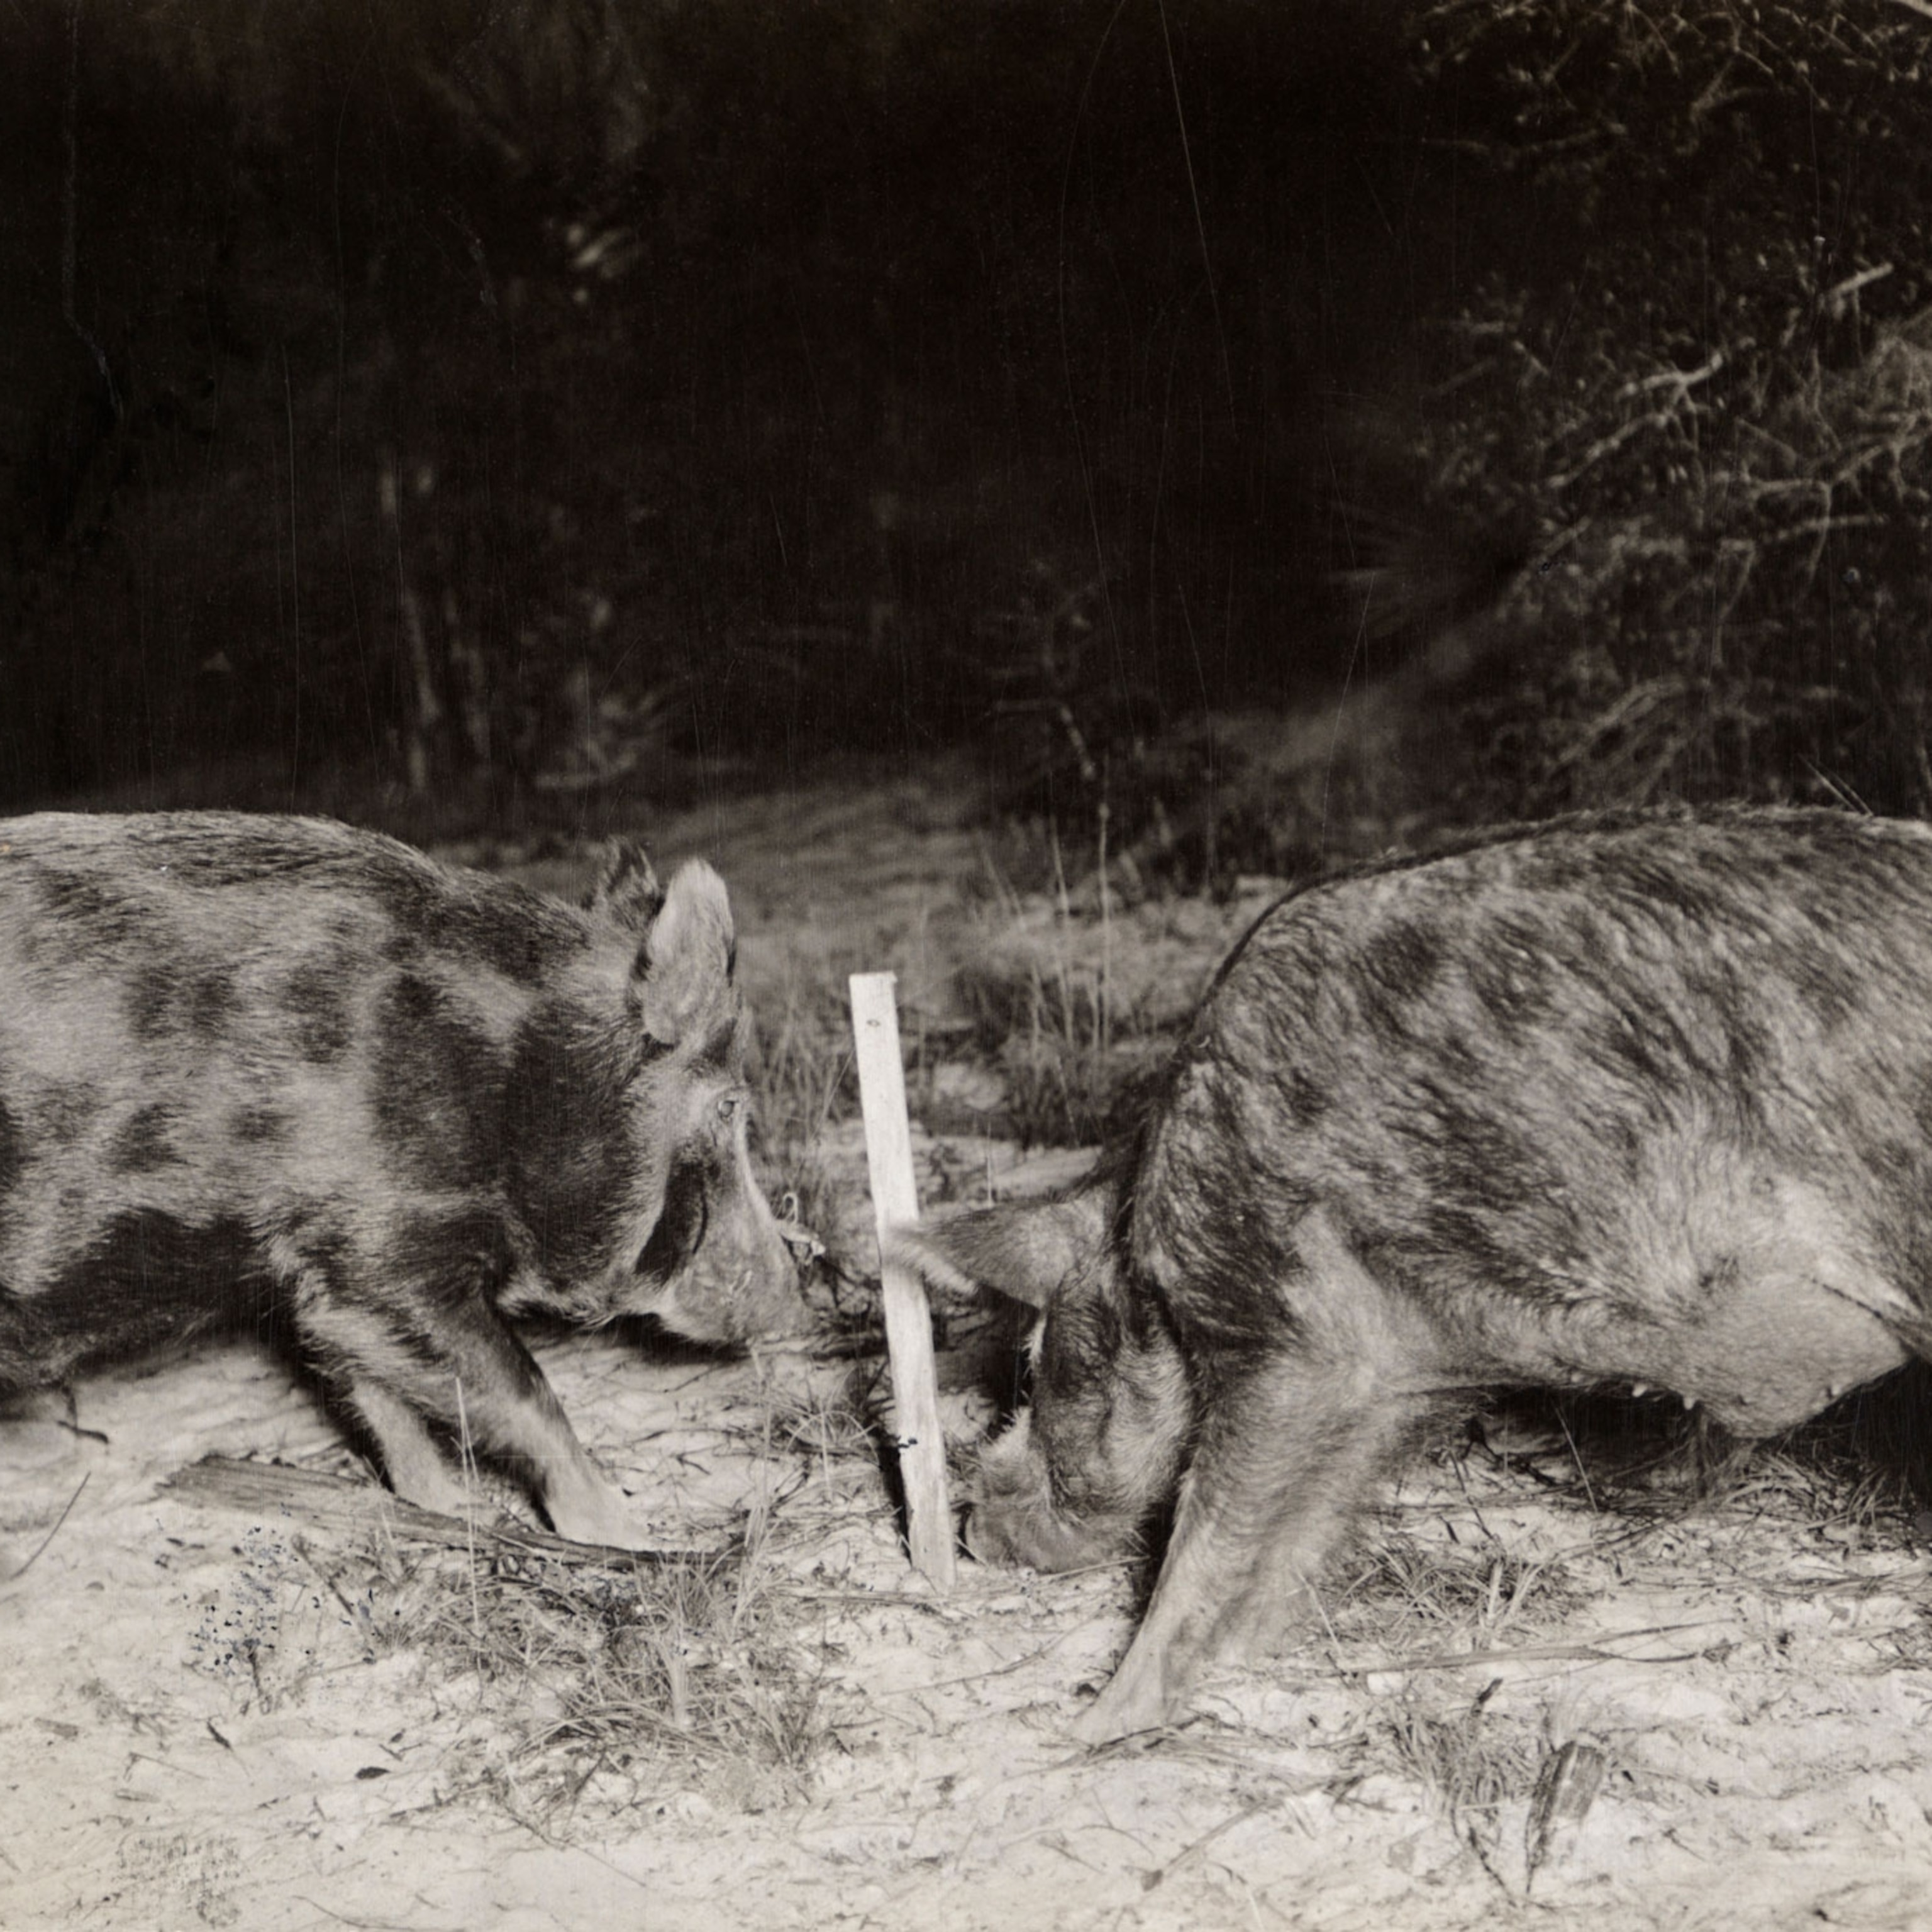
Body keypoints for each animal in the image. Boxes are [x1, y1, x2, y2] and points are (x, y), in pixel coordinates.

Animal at [0, 811, 803, 1549]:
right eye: (729, 1106)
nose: (792, 1292)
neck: (518, 1084)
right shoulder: (379, 1246)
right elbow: (521, 1392)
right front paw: (637, 1541)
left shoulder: (320, 1277)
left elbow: (376, 1395)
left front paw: (454, 1512)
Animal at [893, 804, 1932, 1741]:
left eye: (1037, 1367)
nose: (974, 1528)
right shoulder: (1376, 1388)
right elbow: (1296, 1534)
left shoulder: (1295, 1335)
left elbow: (1209, 1529)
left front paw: (1081, 1728)